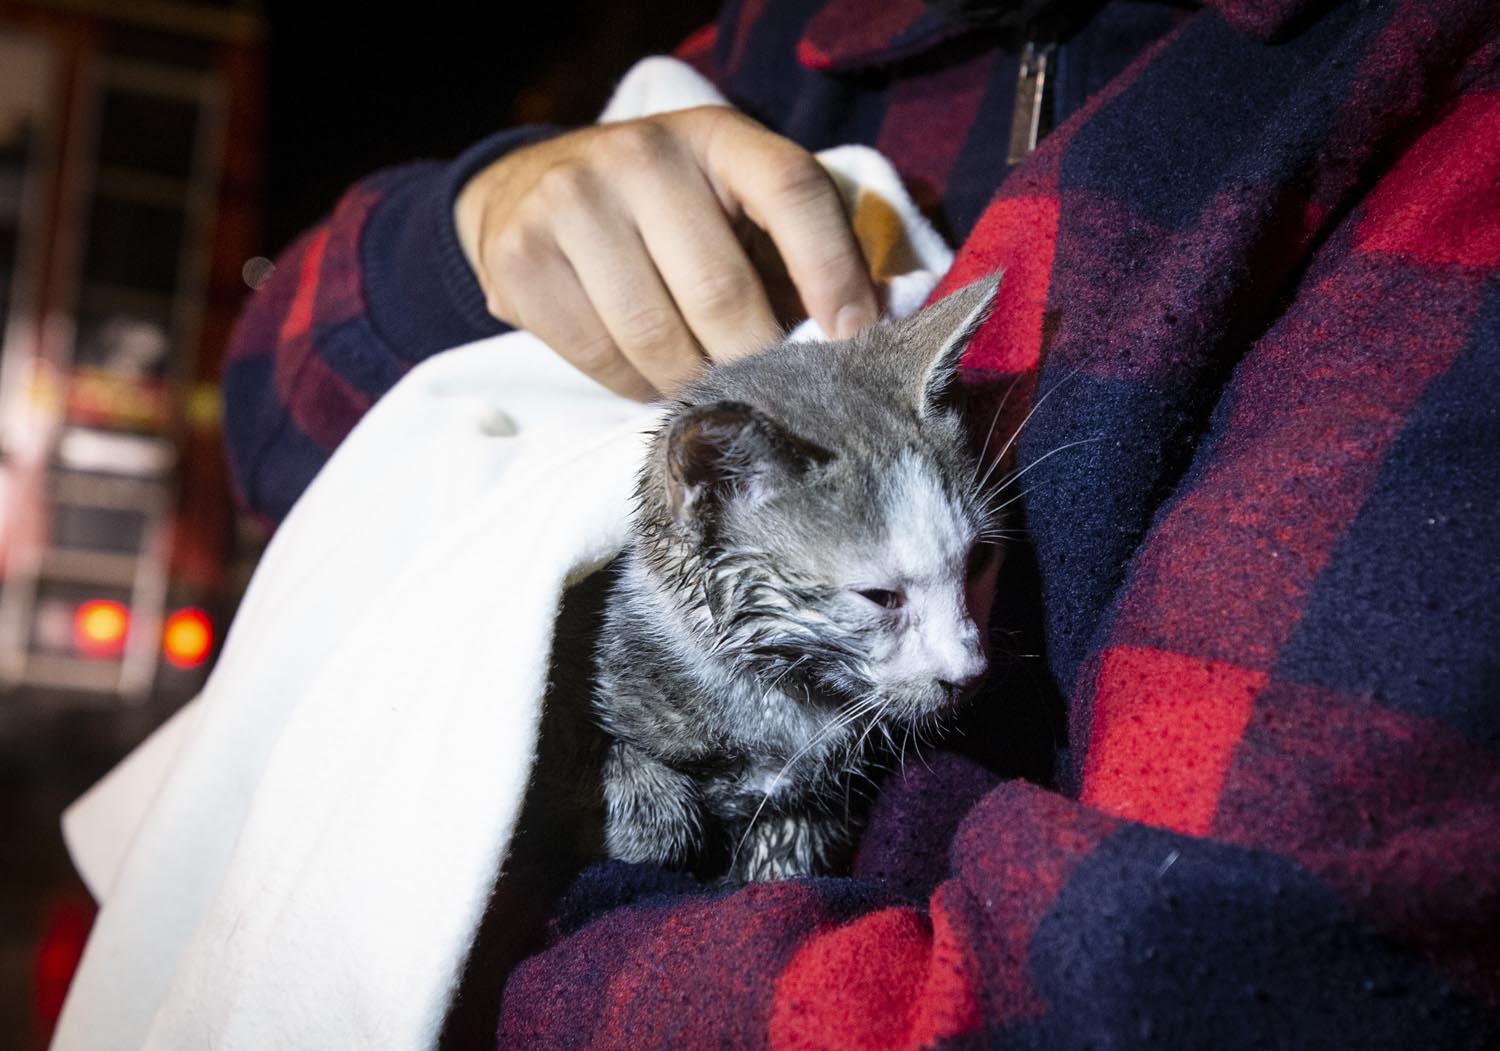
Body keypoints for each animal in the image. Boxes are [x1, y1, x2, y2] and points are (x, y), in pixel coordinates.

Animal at [591, 274, 1002, 881]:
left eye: (976, 563)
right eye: (879, 597)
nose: (969, 674)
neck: (780, 708)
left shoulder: (815, 803)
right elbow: (636, 777)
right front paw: (657, 825)